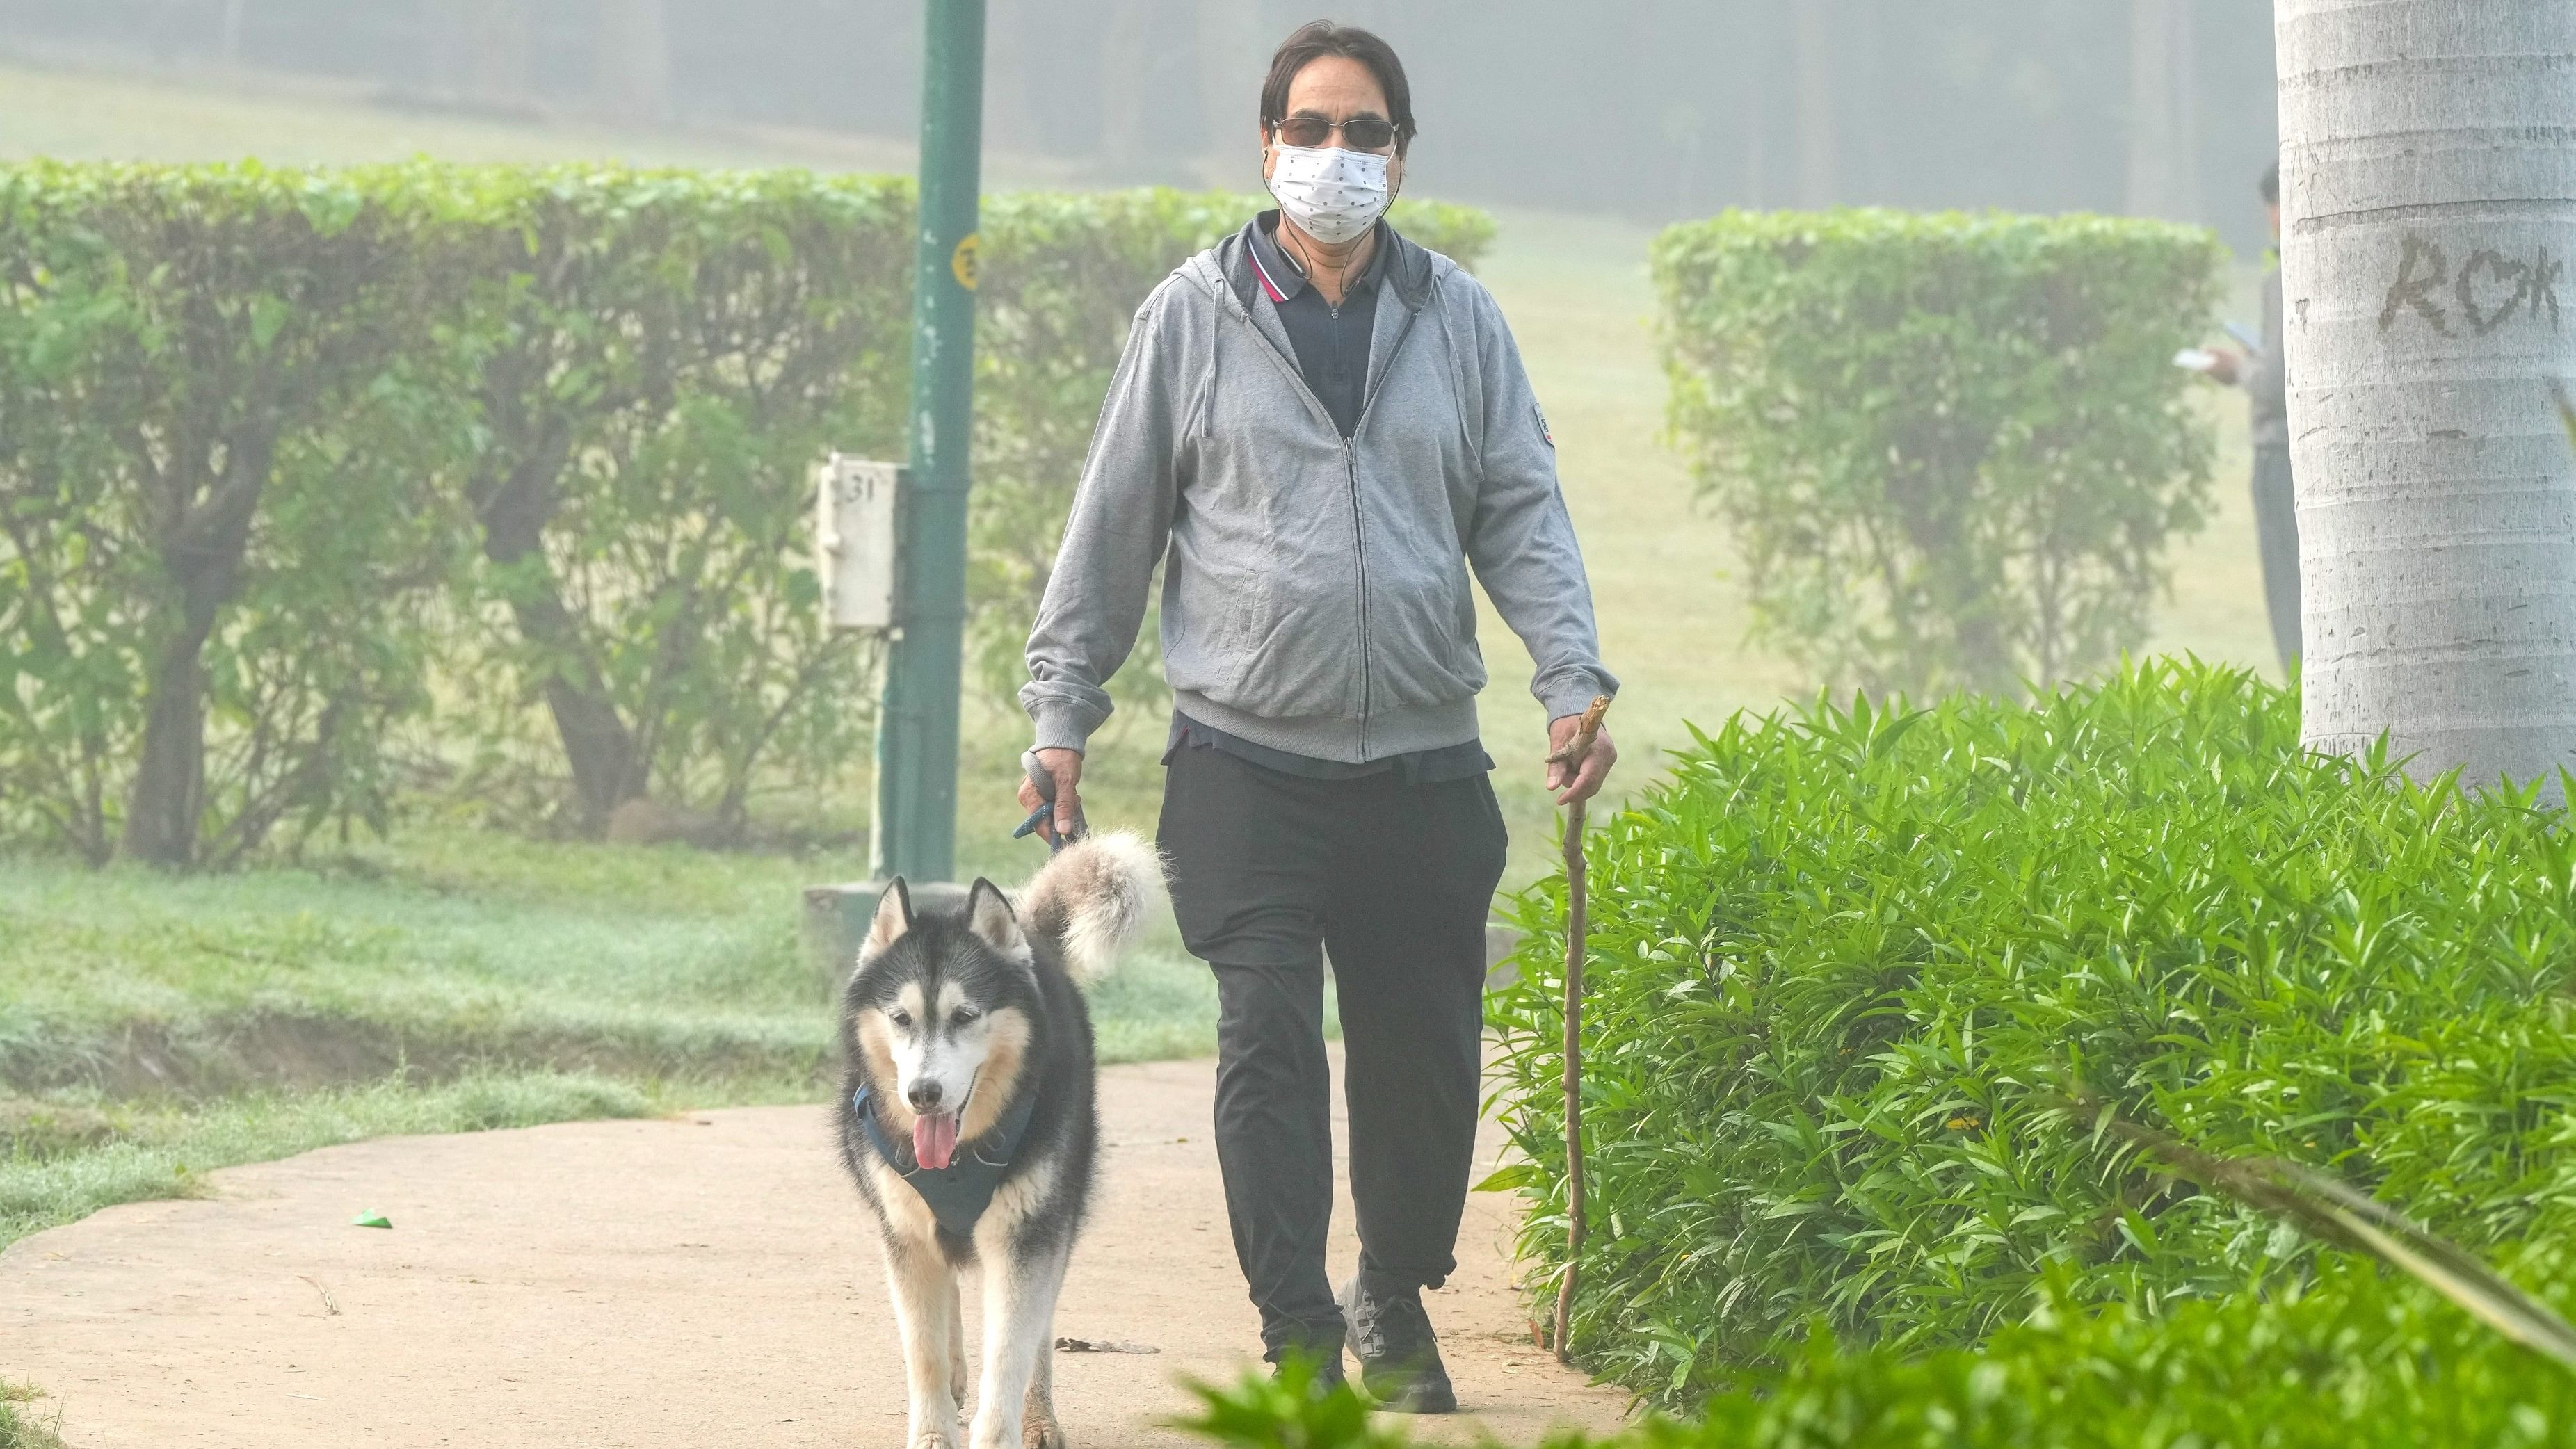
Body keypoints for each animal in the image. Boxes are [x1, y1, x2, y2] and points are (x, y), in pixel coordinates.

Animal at [839, 828, 1164, 1449]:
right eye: (901, 1018)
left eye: (966, 1016)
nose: (923, 1094)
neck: (960, 1157)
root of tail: (1031, 939)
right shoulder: (905, 1234)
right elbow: (923, 1351)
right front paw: (933, 1430)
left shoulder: (1027, 1235)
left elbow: (1011, 1349)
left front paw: (1001, 1428)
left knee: (1037, 1329)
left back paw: (1038, 1417)